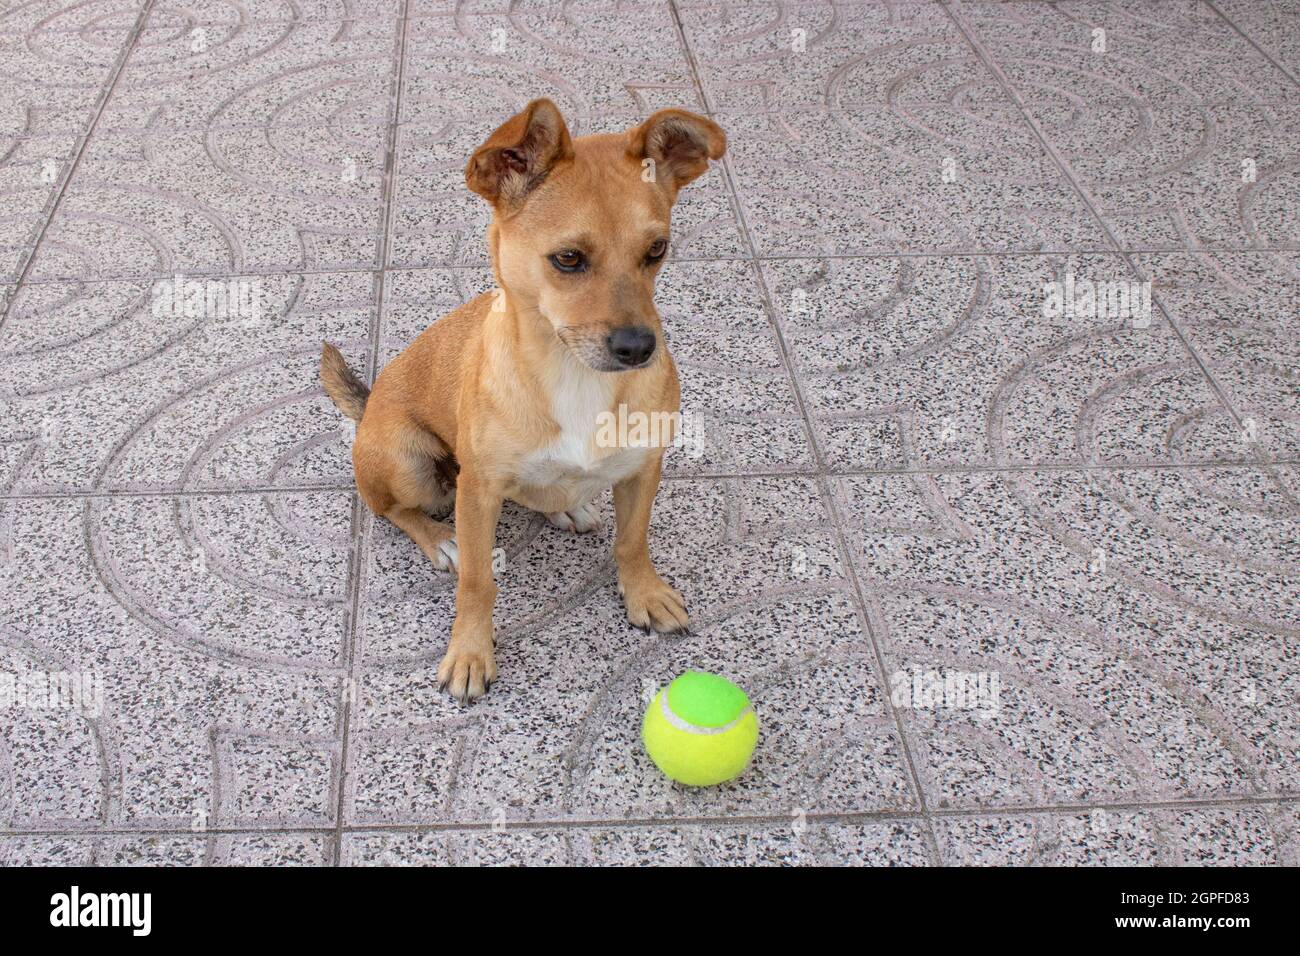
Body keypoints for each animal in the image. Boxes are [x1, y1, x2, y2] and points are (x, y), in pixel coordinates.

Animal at [319, 98, 728, 702]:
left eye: (657, 250)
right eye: (568, 258)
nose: (639, 348)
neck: (574, 375)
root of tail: (367, 409)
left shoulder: (642, 468)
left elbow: (633, 542)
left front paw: (645, 594)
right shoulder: (479, 489)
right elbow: (477, 582)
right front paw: (470, 651)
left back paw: (568, 505)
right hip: (407, 460)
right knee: (392, 510)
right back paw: (440, 538)